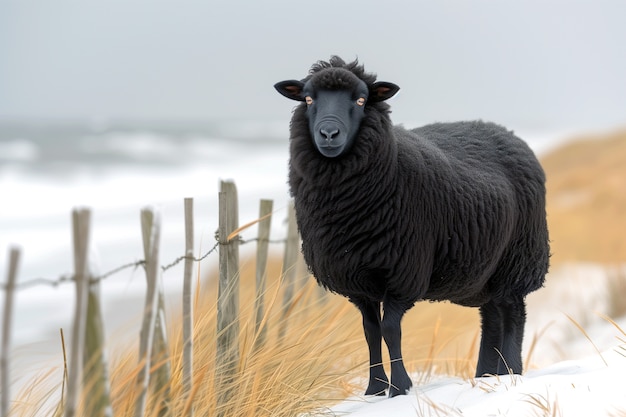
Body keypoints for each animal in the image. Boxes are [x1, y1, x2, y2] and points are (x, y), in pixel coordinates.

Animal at [272, 56, 544, 396]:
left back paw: (511, 372)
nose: (329, 133)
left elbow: (391, 328)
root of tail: (508, 133)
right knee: (492, 316)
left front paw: (400, 387)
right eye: (308, 99)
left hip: (518, 258)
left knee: (513, 313)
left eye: (361, 99)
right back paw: (485, 374)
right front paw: (374, 389)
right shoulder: (356, 278)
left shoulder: (403, 271)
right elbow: (370, 331)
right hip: (484, 273)